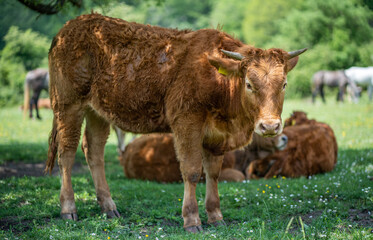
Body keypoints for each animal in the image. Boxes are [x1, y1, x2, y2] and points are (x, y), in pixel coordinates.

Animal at [45, 12, 306, 232]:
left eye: (284, 84)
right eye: (249, 84)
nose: (270, 126)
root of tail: (72, 26)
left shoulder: (217, 136)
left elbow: (213, 173)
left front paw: (216, 216)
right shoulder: (187, 123)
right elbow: (192, 171)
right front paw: (192, 219)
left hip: (98, 112)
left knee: (94, 151)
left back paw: (109, 207)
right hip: (68, 105)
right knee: (67, 153)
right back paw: (68, 208)